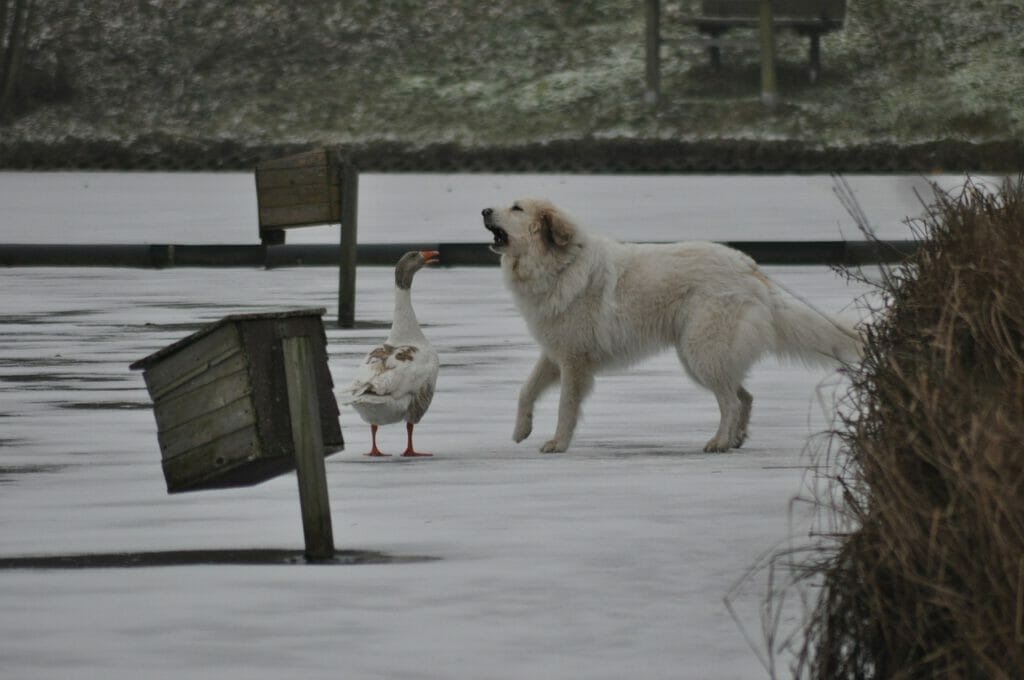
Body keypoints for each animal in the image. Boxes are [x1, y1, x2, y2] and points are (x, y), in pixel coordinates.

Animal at [481, 199, 864, 454]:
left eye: (516, 208)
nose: (484, 211)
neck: (558, 265)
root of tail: (751, 268)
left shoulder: (574, 361)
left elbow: (566, 407)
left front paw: (558, 443)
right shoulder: (555, 353)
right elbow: (526, 390)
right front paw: (521, 430)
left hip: (701, 352)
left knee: (731, 400)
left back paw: (719, 442)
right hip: (703, 355)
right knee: (744, 395)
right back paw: (735, 440)